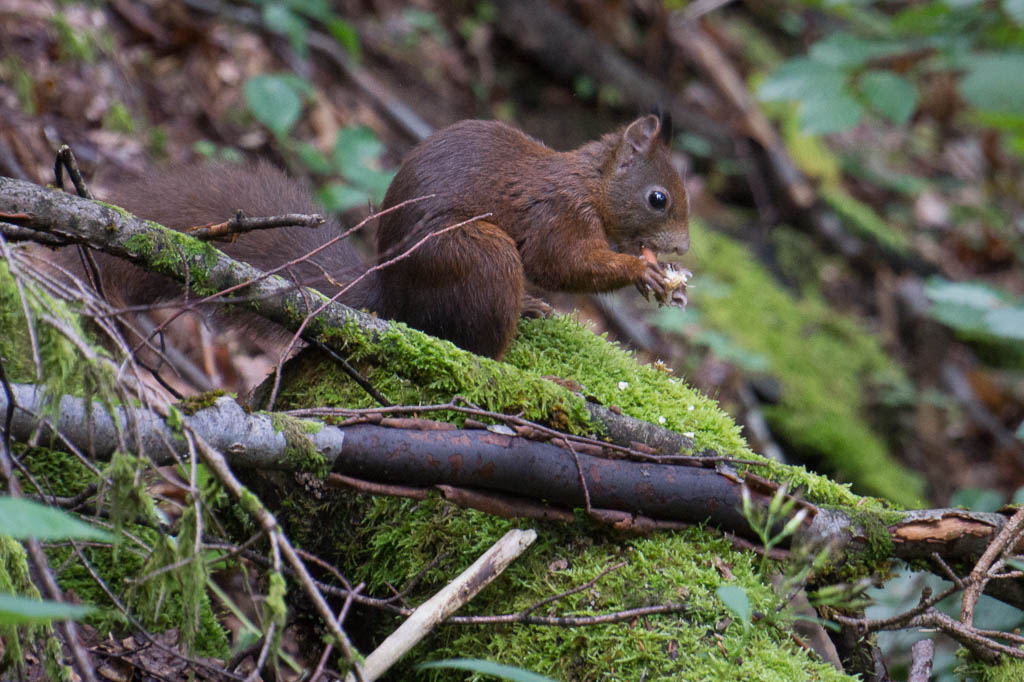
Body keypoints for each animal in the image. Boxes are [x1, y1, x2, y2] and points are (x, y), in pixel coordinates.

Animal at [55, 113, 689, 360]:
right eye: (659, 198)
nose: (683, 250)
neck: (593, 183)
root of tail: (389, 292)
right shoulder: (558, 213)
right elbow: (565, 262)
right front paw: (643, 271)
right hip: (477, 255)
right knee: (475, 346)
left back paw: (530, 308)